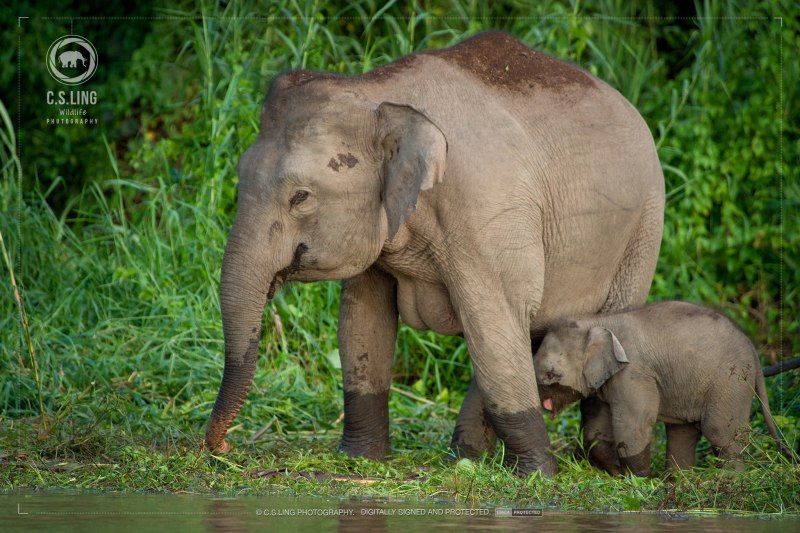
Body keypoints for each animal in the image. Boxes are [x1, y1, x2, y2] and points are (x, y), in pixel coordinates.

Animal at [205, 31, 664, 476]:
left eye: (300, 197)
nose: (225, 448)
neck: (377, 92)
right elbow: (362, 321)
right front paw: (360, 460)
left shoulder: (488, 213)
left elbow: (492, 321)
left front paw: (539, 476)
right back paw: (464, 458)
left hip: (643, 229)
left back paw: (602, 465)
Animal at [536, 298, 792, 476]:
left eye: (550, 374)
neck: (598, 322)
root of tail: (754, 351)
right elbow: (598, 429)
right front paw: (617, 474)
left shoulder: (634, 372)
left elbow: (635, 424)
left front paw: (638, 481)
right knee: (682, 434)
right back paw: (678, 482)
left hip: (731, 381)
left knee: (720, 432)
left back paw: (730, 481)